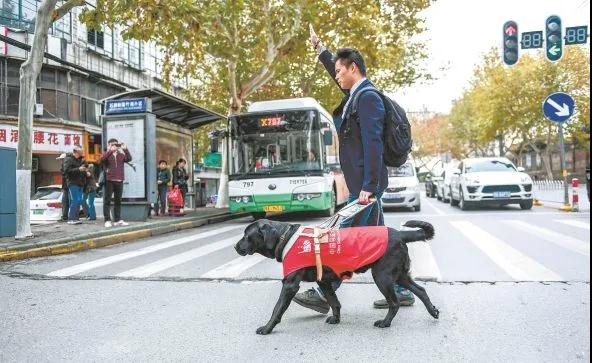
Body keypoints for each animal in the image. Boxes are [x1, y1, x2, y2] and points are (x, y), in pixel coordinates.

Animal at [236, 219, 440, 336]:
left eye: (247, 236)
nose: (236, 247)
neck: (284, 237)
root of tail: (399, 233)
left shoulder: (289, 285)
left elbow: (277, 309)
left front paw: (267, 328)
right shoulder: (324, 281)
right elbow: (334, 302)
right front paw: (336, 319)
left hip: (382, 276)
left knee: (395, 302)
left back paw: (385, 323)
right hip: (399, 275)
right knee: (421, 290)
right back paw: (433, 311)